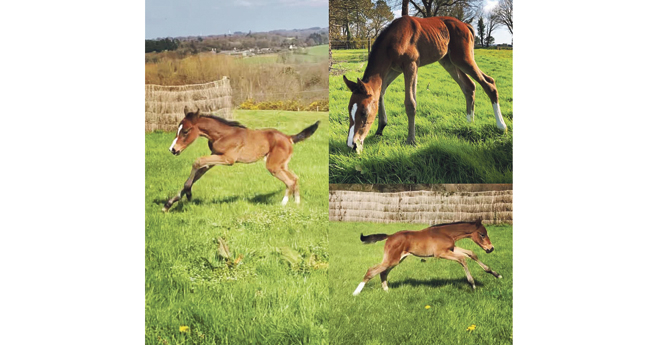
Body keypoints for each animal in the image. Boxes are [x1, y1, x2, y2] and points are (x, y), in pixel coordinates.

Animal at [164, 106, 320, 211]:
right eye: (178, 129)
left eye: (185, 131)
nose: (173, 149)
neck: (222, 135)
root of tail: (289, 137)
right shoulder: (214, 159)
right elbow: (196, 174)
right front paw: (168, 204)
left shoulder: (228, 159)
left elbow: (197, 161)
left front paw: (188, 195)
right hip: (282, 165)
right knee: (295, 178)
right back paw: (297, 203)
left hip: (273, 166)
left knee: (289, 181)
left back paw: (283, 204)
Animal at [342, 15, 508, 152]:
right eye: (349, 109)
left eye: (363, 112)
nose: (352, 144)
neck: (393, 39)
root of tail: (466, 26)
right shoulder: (394, 69)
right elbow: (381, 92)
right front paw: (380, 129)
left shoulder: (411, 65)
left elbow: (410, 103)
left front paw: (411, 140)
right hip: (449, 62)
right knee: (469, 86)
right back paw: (469, 123)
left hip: (463, 59)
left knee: (489, 83)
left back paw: (501, 126)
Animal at [354, 219, 502, 294]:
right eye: (482, 234)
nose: (490, 248)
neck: (445, 233)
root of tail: (390, 236)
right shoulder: (441, 253)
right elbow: (462, 259)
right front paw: (472, 284)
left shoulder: (451, 249)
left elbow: (471, 253)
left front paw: (496, 274)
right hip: (392, 260)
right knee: (371, 270)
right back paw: (356, 292)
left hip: (396, 260)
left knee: (382, 272)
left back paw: (386, 290)